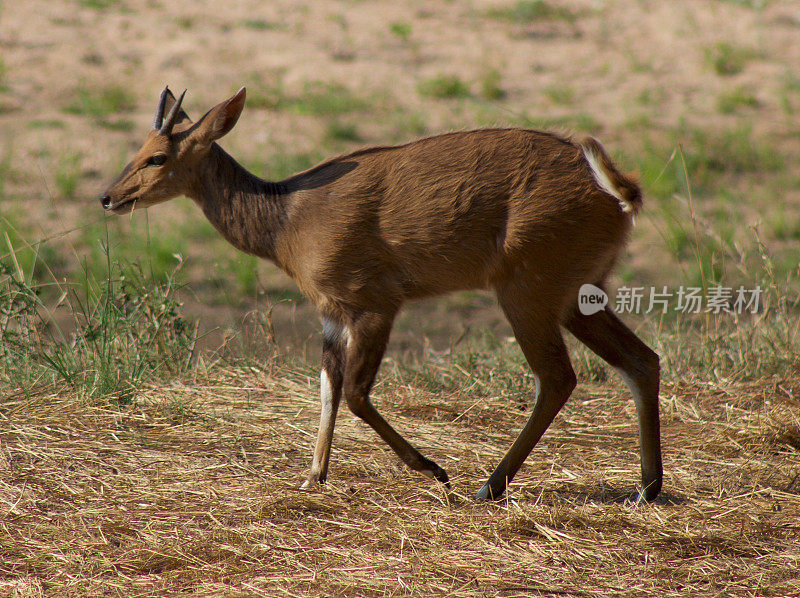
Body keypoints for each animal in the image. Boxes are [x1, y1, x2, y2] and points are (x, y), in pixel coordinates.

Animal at [100, 86, 664, 504]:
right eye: (136, 149)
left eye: (157, 157)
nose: (107, 196)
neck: (287, 225)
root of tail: (622, 193)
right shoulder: (330, 312)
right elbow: (327, 387)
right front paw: (312, 476)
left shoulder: (373, 300)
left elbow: (354, 392)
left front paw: (434, 469)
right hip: (576, 291)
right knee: (642, 360)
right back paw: (646, 488)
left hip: (528, 285)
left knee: (558, 377)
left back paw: (487, 486)